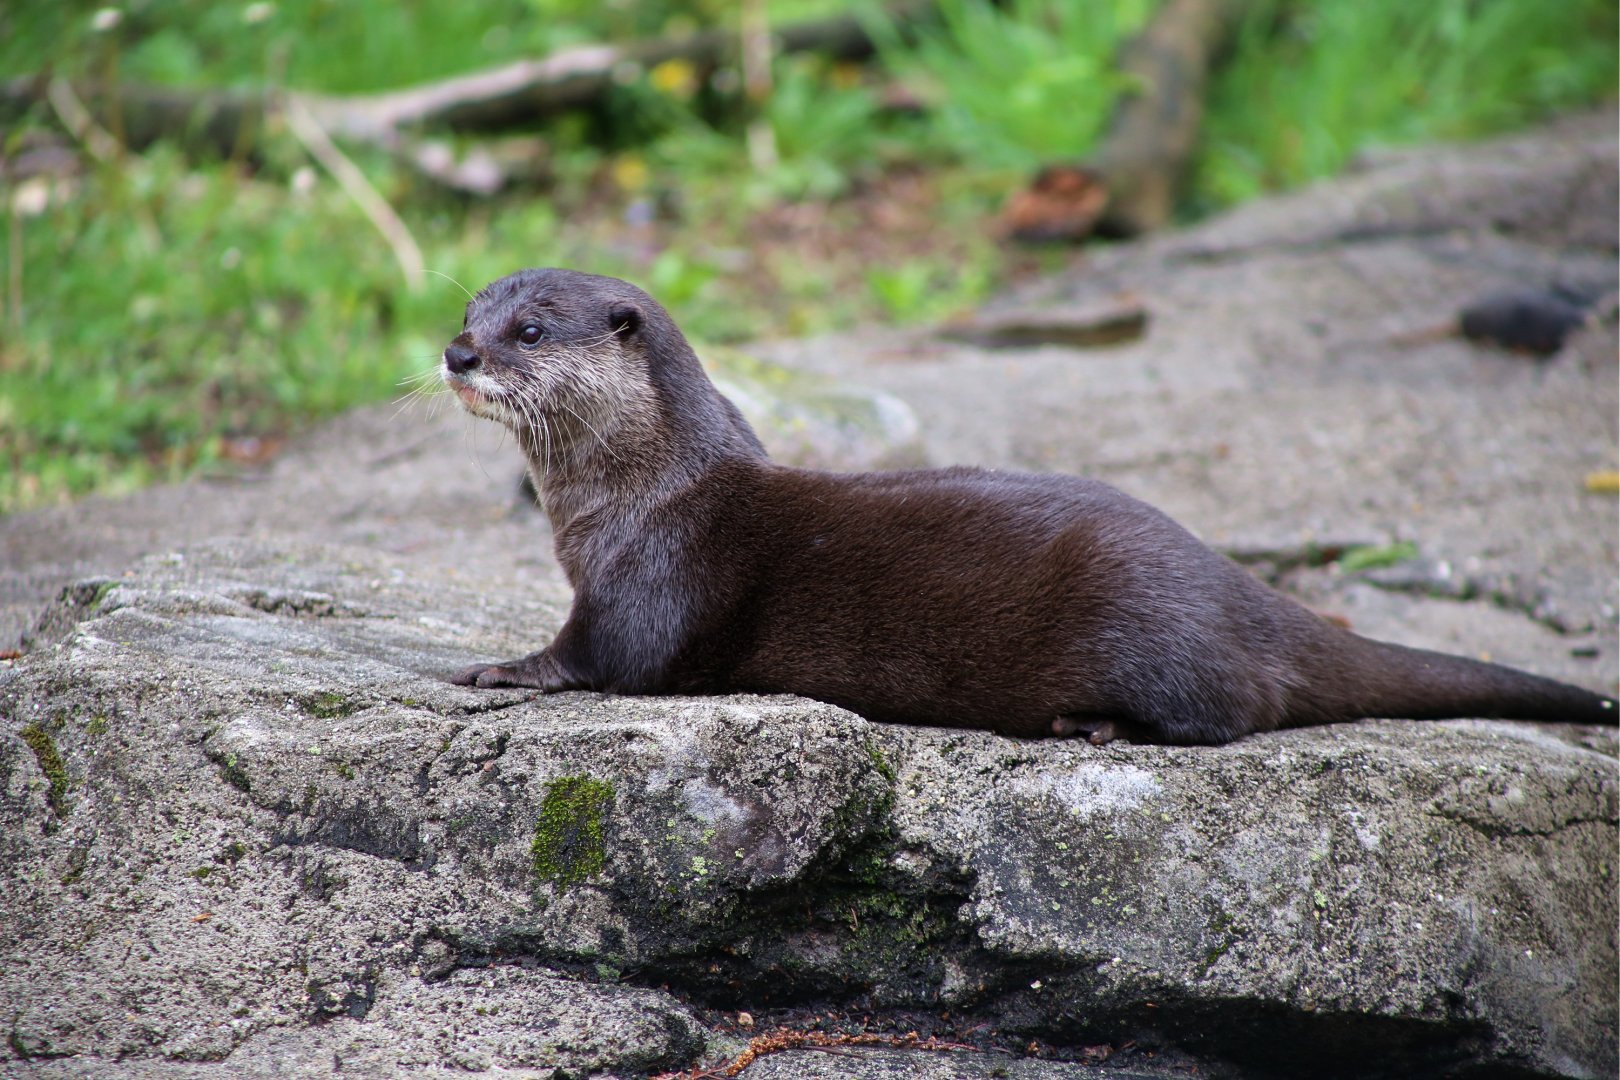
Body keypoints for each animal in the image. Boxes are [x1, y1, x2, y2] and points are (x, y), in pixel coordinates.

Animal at [440, 268, 1617, 745]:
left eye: (530, 331)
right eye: (470, 311)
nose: (456, 352)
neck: (639, 493)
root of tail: (1241, 589)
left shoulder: (656, 580)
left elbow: (606, 661)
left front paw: (498, 667)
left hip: (1150, 626)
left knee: (1235, 710)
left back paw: (1096, 723)